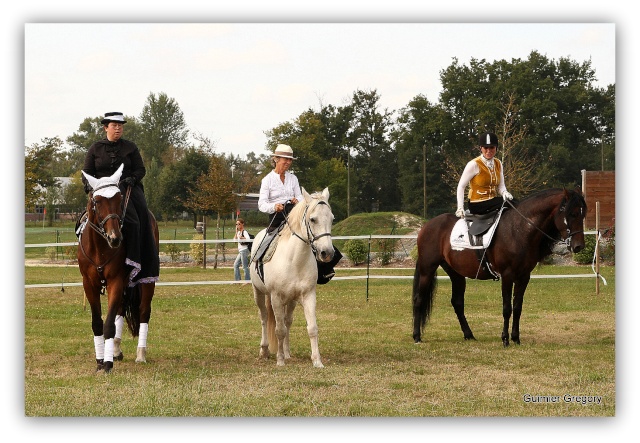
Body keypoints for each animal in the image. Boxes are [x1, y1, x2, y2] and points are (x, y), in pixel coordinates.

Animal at [78, 165, 159, 372]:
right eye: (97, 201)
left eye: (119, 199)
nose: (115, 238)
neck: (100, 247)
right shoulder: (89, 284)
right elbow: (97, 323)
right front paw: (100, 360)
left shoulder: (115, 280)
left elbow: (108, 325)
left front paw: (107, 364)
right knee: (121, 310)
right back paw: (115, 349)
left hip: (145, 279)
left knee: (144, 311)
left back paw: (140, 354)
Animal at [249, 187, 336, 368]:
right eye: (313, 219)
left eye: (332, 218)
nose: (327, 253)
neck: (294, 259)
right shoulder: (275, 298)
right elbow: (279, 330)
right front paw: (280, 360)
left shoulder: (308, 296)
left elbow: (312, 328)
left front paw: (317, 361)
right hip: (259, 293)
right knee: (264, 318)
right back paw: (265, 350)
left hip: (291, 300)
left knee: (287, 321)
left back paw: (287, 352)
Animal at [412, 187, 588, 346]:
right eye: (572, 214)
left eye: (583, 215)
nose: (579, 246)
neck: (519, 230)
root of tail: (428, 225)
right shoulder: (507, 275)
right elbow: (507, 308)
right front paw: (505, 339)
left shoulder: (524, 277)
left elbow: (517, 307)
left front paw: (516, 338)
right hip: (427, 269)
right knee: (419, 299)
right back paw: (417, 336)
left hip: (456, 274)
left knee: (457, 302)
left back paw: (469, 335)